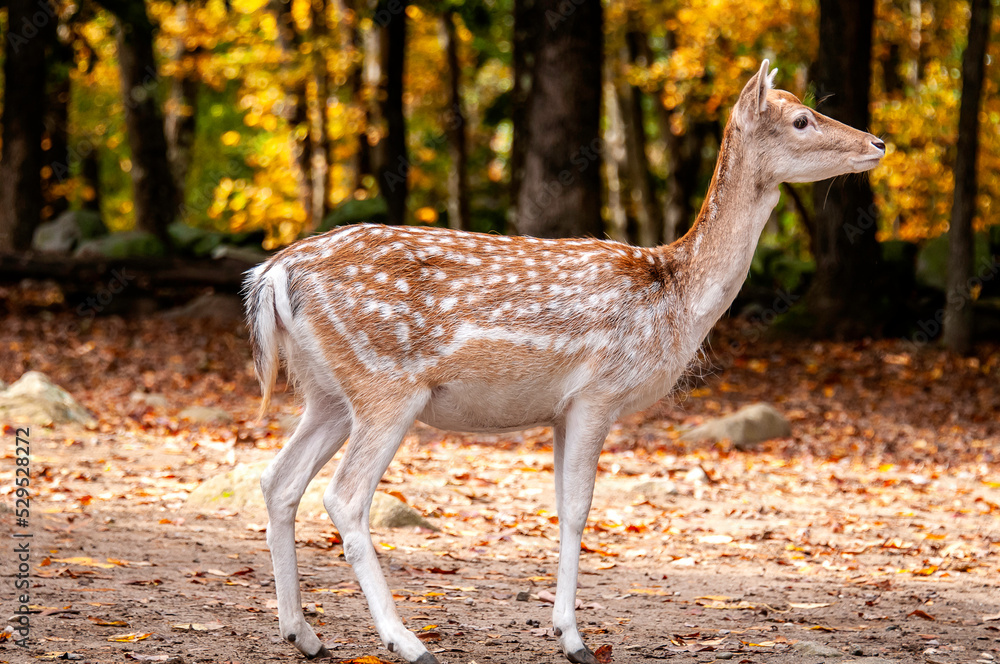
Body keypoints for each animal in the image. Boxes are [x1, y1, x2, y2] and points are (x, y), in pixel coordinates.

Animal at [243, 60, 885, 664]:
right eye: (801, 120)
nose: (877, 142)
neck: (676, 298)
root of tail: (274, 274)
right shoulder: (598, 392)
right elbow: (579, 511)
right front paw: (574, 640)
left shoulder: (557, 410)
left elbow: (557, 509)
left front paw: (561, 629)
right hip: (385, 385)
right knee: (345, 497)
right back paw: (407, 642)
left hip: (327, 392)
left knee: (279, 480)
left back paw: (303, 634)